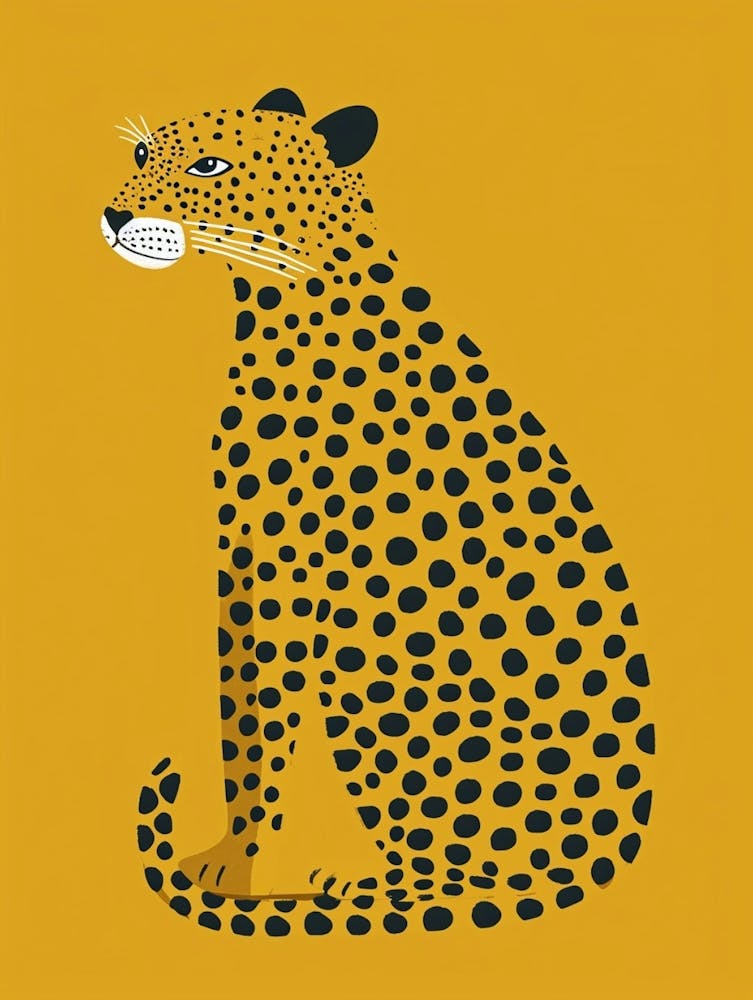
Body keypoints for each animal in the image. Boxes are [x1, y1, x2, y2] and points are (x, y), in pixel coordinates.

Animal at [102, 88, 655, 937]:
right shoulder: (237, 562)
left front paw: (241, 870)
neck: (278, 295)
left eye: (209, 165)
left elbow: (264, 721)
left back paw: (365, 890)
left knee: (462, 883)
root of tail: (600, 854)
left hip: (377, 674)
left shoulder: (286, 575)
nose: (113, 215)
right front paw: (229, 857)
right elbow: (235, 713)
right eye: (141, 153)